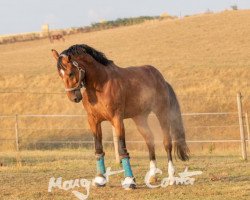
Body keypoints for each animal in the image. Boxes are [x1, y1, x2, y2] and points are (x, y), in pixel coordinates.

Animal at [50, 44, 188, 190]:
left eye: (71, 72)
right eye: (60, 74)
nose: (74, 97)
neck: (101, 84)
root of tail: (162, 79)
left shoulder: (117, 119)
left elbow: (122, 149)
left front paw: (129, 181)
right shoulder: (93, 120)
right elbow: (98, 148)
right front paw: (100, 179)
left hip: (162, 113)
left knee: (167, 142)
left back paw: (171, 177)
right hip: (140, 118)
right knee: (149, 140)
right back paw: (152, 176)